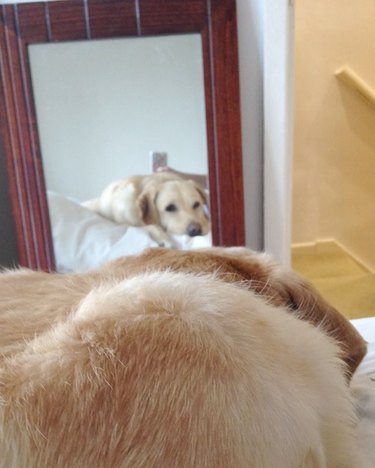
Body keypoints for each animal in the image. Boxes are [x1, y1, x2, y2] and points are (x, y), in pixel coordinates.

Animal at [82, 171, 210, 245]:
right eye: (170, 207)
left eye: (196, 204)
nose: (195, 230)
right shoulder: (125, 224)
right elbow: (151, 226)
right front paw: (165, 240)